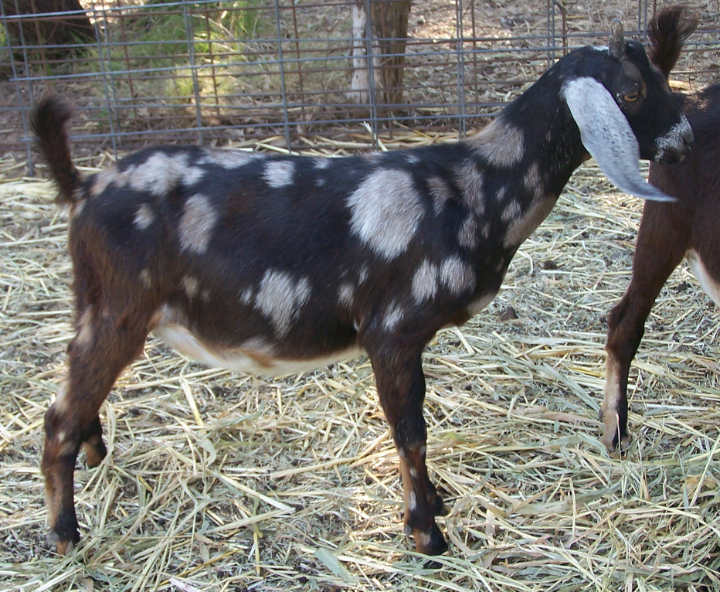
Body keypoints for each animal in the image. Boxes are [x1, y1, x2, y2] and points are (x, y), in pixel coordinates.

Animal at [33, 22, 692, 556]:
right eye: (631, 92)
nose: (686, 139)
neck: (472, 187)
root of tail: (81, 187)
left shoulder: (409, 341)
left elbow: (417, 425)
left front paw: (436, 505)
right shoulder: (391, 332)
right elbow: (410, 432)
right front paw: (427, 533)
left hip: (94, 303)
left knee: (78, 392)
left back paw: (96, 457)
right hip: (120, 309)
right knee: (57, 415)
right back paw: (66, 535)